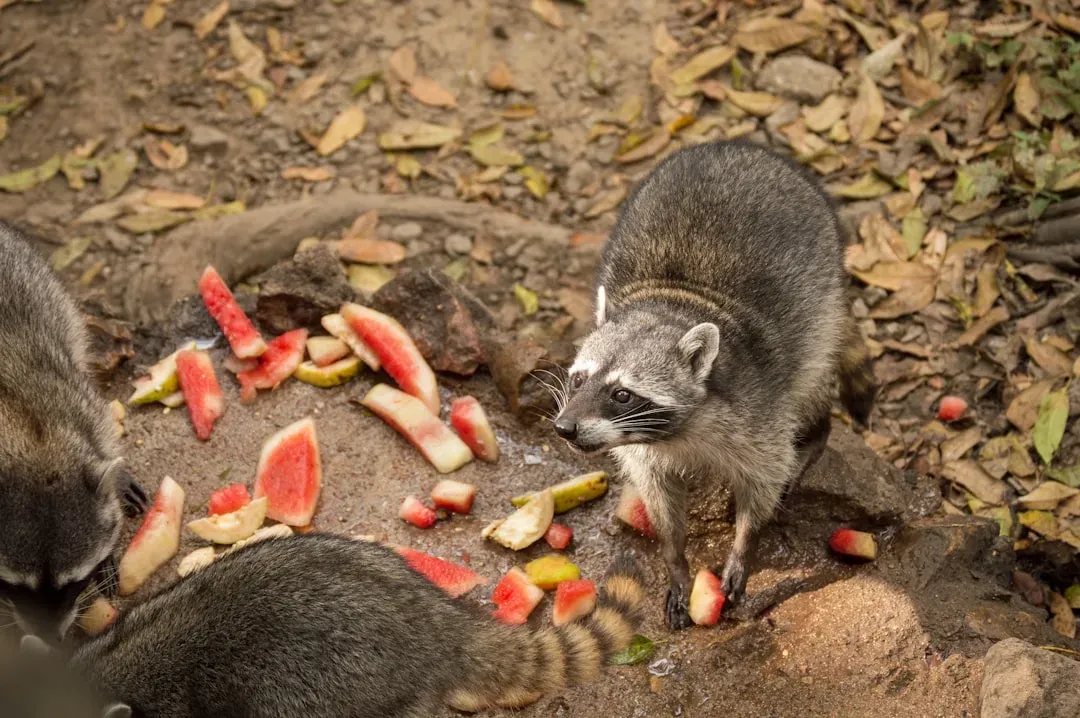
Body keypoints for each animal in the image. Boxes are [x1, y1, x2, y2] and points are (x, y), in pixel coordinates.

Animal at [0, 221, 147, 643]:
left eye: (73, 584)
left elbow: (104, 438)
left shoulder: (80, 405)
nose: (51, 641)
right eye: (12, 586)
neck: (34, 444)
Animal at [552, 140, 875, 629]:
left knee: (810, 381)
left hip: (821, 301)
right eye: (578, 379)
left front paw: (744, 544)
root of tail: (744, 146)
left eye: (621, 394)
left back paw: (815, 436)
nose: (564, 428)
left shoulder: (758, 408)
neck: (674, 303)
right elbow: (659, 499)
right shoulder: (644, 449)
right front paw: (675, 558)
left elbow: (764, 477)